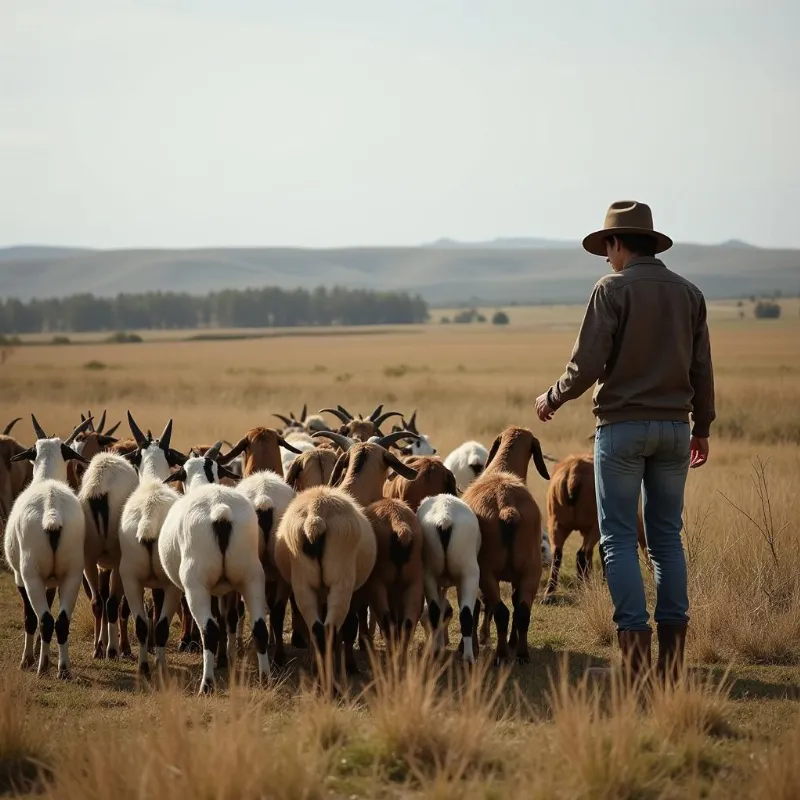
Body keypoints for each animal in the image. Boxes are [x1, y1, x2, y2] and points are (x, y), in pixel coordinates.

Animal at [4, 416, 92, 680]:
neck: (47, 480)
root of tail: (52, 512)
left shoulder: (20, 577)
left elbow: (30, 617)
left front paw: (28, 659)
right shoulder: (52, 581)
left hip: (31, 576)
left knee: (44, 620)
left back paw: (41, 667)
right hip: (72, 576)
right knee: (61, 621)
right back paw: (63, 668)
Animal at [116, 416, 187, 680]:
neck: (154, 484)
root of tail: (149, 515)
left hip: (130, 580)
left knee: (141, 623)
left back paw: (144, 668)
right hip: (171, 584)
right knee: (160, 625)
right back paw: (160, 668)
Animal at [159, 444, 272, 692]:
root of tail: (220, 511)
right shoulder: (227, 589)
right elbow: (228, 619)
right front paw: (227, 658)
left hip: (196, 586)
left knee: (208, 630)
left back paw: (207, 684)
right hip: (252, 578)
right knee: (259, 627)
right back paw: (265, 678)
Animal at [418, 496, 482, 664]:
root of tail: (445, 518)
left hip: (430, 575)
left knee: (437, 613)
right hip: (469, 574)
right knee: (464, 615)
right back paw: (466, 657)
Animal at [462, 424, 552, 664]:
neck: (502, 469)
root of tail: (506, 507)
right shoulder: (519, 576)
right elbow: (515, 601)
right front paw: (513, 642)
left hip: (487, 573)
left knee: (500, 611)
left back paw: (501, 655)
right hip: (532, 570)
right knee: (522, 611)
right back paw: (521, 654)